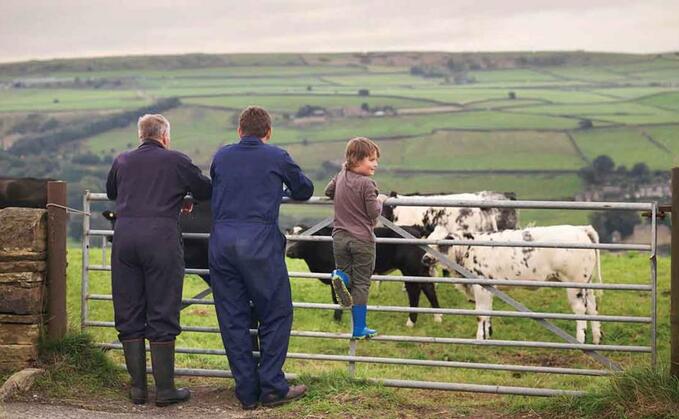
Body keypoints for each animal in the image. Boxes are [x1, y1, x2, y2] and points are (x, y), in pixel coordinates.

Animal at [286, 225, 440, 326]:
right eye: (288, 238)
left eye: (305, 238)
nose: (289, 252)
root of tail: (414, 230)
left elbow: (336, 299)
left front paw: (337, 319)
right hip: (420, 270)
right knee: (429, 288)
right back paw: (437, 317)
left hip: (410, 270)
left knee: (414, 291)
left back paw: (411, 321)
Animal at [422, 226, 604, 344]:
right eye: (428, 241)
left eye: (441, 243)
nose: (425, 258)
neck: (468, 249)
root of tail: (581, 230)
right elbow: (488, 313)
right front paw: (488, 335)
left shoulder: (481, 286)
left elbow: (481, 314)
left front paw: (479, 339)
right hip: (587, 283)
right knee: (592, 307)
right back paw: (597, 338)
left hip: (575, 283)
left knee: (580, 310)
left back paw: (580, 340)